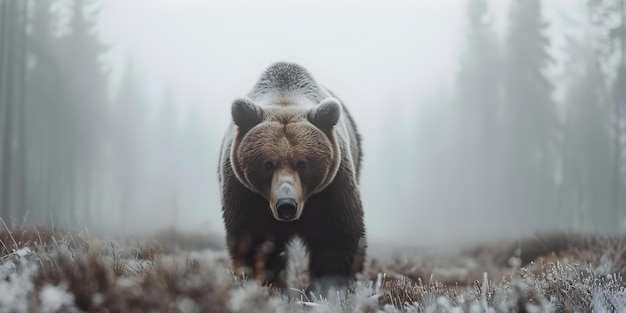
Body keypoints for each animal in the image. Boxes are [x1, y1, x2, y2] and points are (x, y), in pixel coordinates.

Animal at [218, 61, 366, 294]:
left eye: (302, 163)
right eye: (268, 164)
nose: (286, 204)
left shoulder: (331, 189)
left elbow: (335, 239)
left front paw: (327, 287)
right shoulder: (246, 194)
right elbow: (254, 241)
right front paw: (267, 285)